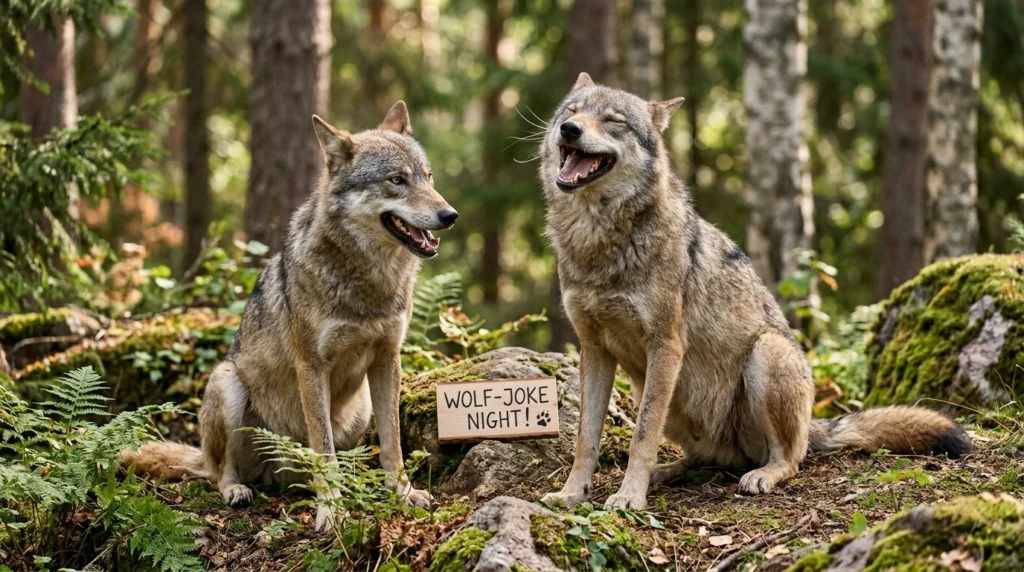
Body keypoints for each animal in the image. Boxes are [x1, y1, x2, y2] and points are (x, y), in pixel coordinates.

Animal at [124, 102, 458, 529]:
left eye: (428, 178)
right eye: (397, 180)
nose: (450, 215)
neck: (369, 280)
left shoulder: (387, 359)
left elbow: (392, 444)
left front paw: (401, 493)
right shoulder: (311, 365)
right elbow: (323, 448)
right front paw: (332, 510)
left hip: (361, 407)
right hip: (227, 382)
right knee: (221, 471)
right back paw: (237, 490)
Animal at [538, 73, 971, 510]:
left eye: (613, 120)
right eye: (572, 111)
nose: (569, 130)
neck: (597, 239)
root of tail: (813, 424)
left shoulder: (666, 345)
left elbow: (642, 436)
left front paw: (629, 498)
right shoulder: (594, 349)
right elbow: (585, 439)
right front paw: (572, 493)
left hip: (765, 352)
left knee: (788, 458)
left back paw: (760, 475)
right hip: (668, 398)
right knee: (704, 458)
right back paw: (670, 471)